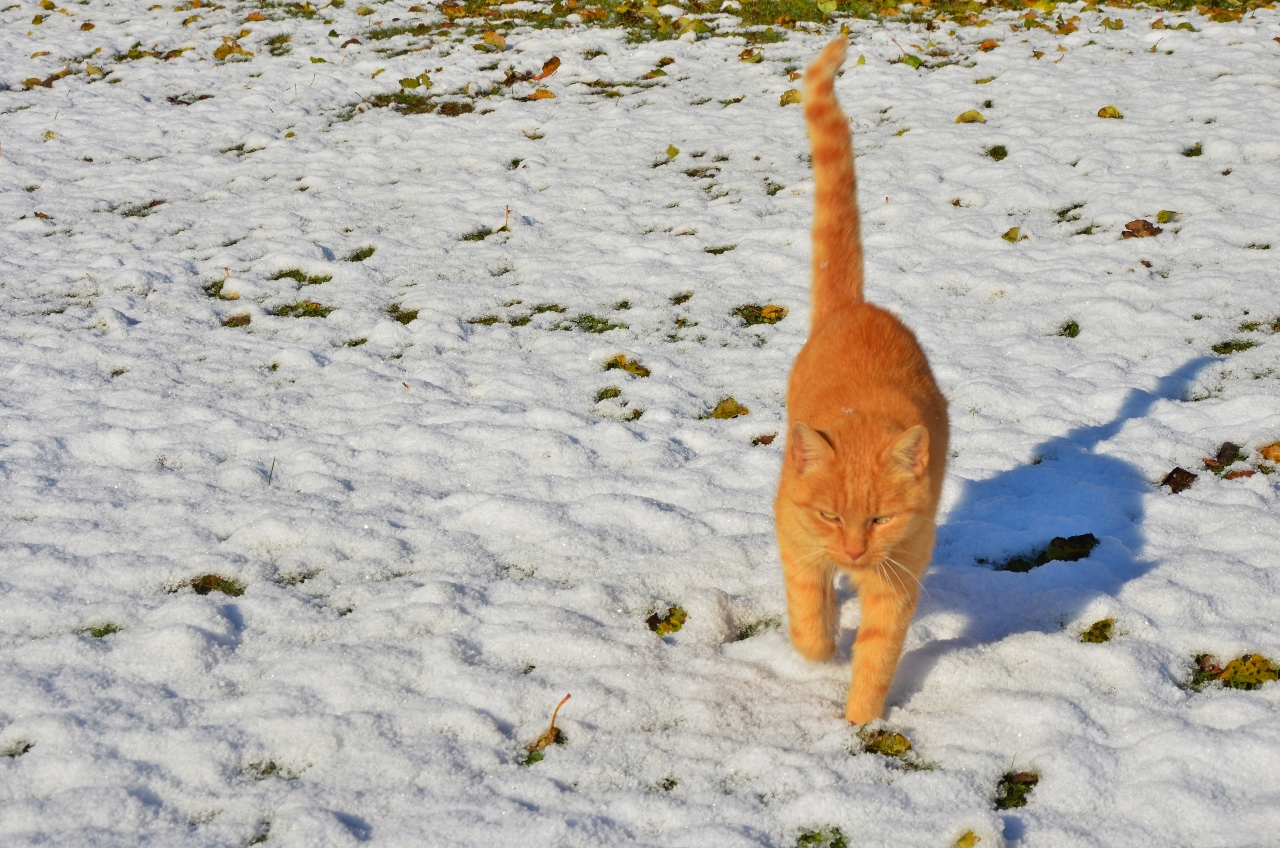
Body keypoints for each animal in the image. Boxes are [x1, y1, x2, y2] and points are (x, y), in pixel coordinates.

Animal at [773, 38, 947, 722]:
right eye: (828, 514)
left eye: (878, 520)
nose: (851, 553)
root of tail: (855, 307)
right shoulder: (795, 538)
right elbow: (807, 614)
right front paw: (820, 649)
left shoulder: (899, 575)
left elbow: (877, 656)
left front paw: (858, 726)